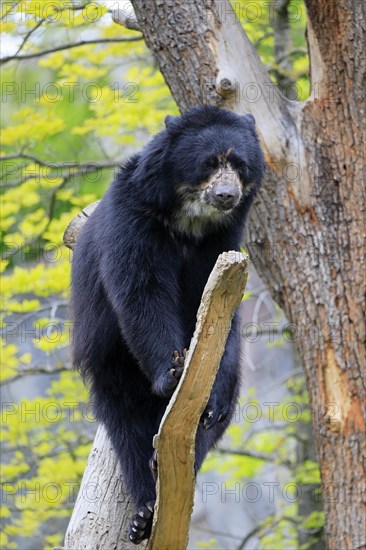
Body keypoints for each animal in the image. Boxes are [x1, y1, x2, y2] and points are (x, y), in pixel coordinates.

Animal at [71, 105, 264, 544]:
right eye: (209, 163)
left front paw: (209, 398)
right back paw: (144, 510)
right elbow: (142, 291)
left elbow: (217, 313)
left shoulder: (223, 242)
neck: (189, 222)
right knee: (128, 428)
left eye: (240, 166)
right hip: (112, 363)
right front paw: (172, 372)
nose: (227, 196)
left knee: (205, 429)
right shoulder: (134, 220)